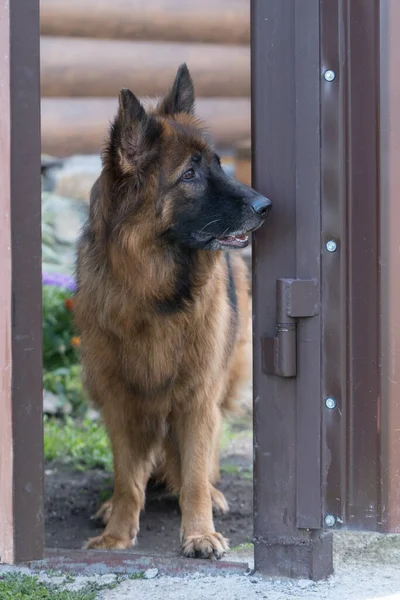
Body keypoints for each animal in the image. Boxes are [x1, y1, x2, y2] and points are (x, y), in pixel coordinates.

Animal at [73, 64, 270, 556]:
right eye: (191, 174)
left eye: (218, 163)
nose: (265, 206)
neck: (153, 290)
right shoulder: (118, 398)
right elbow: (127, 477)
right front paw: (117, 534)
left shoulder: (198, 396)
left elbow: (196, 473)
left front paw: (199, 533)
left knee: (203, 461)